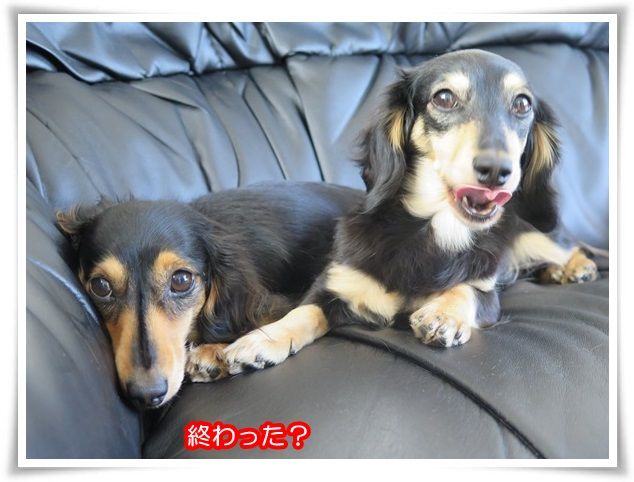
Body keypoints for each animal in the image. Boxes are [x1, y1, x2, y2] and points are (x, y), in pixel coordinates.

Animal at [222, 49, 599, 373]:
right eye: (444, 98)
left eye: (522, 104)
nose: (497, 171)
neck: (435, 229)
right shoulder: (333, 284)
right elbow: (304, 312)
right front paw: (262, 339)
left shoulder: (488, 295)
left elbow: (465, 290)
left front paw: (444, 314)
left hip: (533, 234)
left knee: (571, 247)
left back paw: (575, 268)